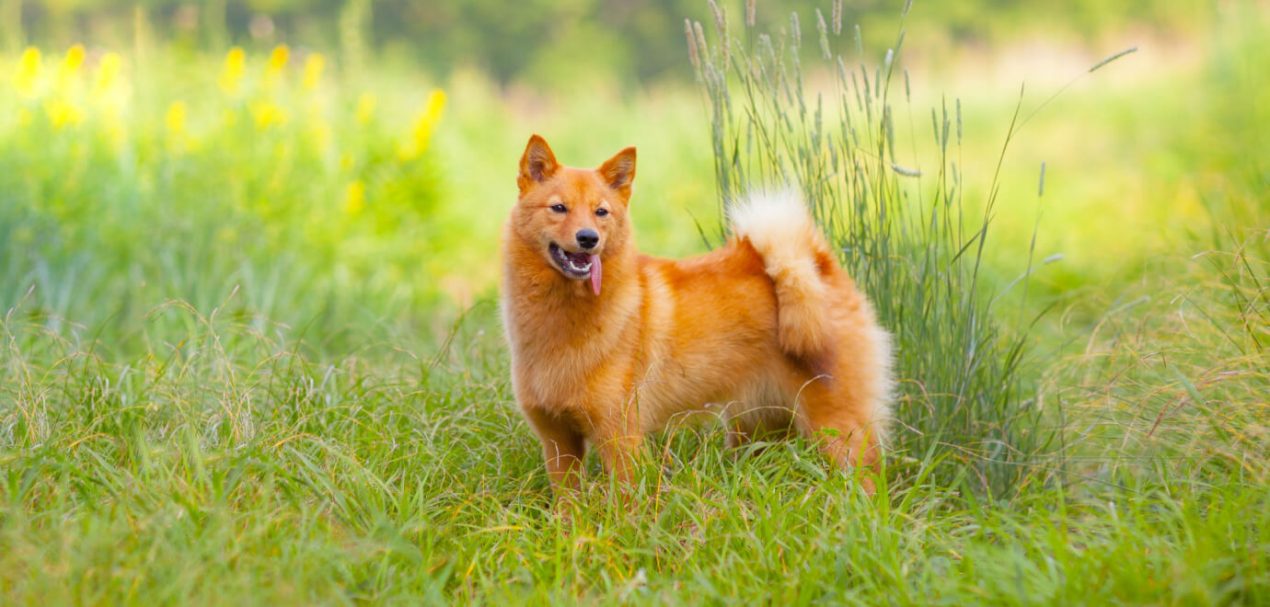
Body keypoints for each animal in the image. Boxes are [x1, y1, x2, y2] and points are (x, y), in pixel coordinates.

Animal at [497, 135, 894, 495]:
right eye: (558, 208)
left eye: (601, 212)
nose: (588, 238)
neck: (562, 319)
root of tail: (816, 264)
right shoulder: (558, 442)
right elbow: (568, 509)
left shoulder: (620, 437)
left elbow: (625, 505)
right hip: (758, 428)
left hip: (838, 431)